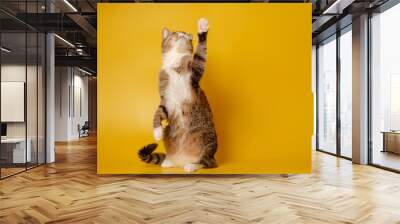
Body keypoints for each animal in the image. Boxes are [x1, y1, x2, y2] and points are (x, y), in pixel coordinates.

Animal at [138, 18, 219, 172]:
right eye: (175, 33)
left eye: (187, 35)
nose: (182, 35)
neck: (176, 63)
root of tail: (182, 159)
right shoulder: (166, 99)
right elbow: (158, 112)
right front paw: (157, 131)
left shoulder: (195, 74)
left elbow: (200, 54)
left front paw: (202, 29)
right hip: (169, 132)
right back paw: (170, 161)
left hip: (205, 136)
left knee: (209, 162)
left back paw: (192, 165)